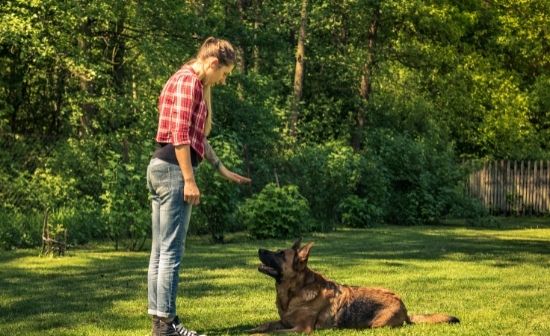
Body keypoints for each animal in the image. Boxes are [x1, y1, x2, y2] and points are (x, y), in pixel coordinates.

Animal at [251, 239, 462, 334]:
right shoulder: (284, 322)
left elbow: (272, 333)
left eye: (280, 254)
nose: (259, 249)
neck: (293, 293)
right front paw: (252, 329)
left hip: (376, 324)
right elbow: (266, 325)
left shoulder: (302, 329)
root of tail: (404, 308)